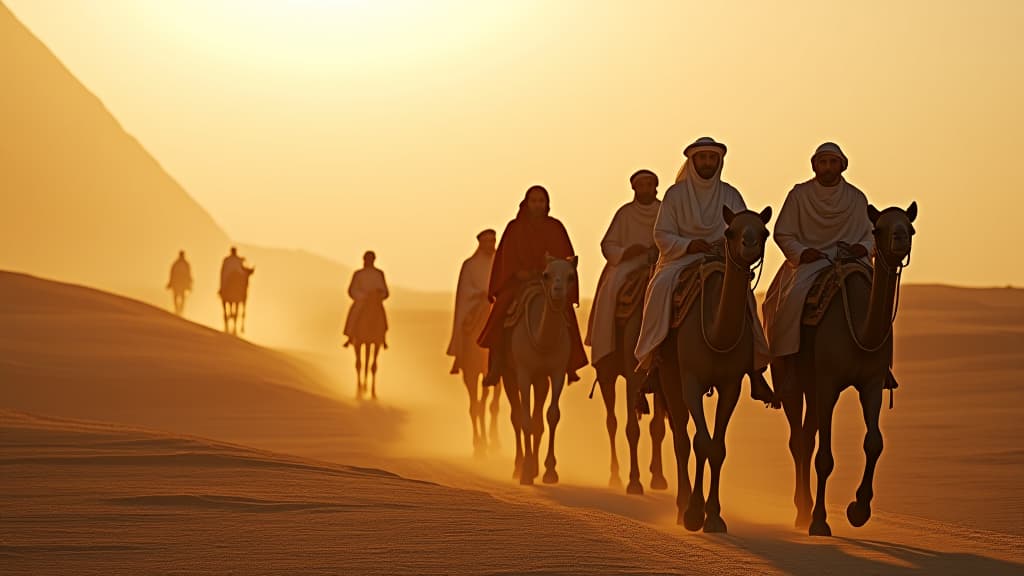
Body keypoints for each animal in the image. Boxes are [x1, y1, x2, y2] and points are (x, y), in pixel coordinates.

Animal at [501, 253, 577, 481]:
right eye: (547, 274)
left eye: (571, 276)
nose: (557, 291)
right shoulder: (524, 373)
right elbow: (524, 419)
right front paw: (526, 471)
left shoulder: (557, 372)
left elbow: (551, 416)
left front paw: (550, 470)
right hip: (508, 375)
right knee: (516, 416)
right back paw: (519, 466)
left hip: (541, 381)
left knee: (537, 419)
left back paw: (534, 466)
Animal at [593, 249, 671, 496]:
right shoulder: (634, 375)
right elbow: (632, 428)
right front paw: (634, 482)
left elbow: (657, 427)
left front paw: (658, 478)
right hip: (606, 374)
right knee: (612, 421)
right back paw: (615, 477)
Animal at [659, 204, 770, 528]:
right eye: (730, 231)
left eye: (764, 231)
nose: (749, 244)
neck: (715, 331)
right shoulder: (691, 380)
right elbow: (701, 442)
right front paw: (695, 513)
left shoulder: (731, 384)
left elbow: (717, 447)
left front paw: (715, 516)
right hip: (669, 374)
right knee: (681, 438)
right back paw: (681, 506)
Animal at [778, 201, 917, 532]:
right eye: (878, 228)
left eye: (909, 225)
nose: (900, 239)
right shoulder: (829, 382)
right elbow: (825, 457)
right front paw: (819, 521)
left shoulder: (871, 382)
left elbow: (874, 442)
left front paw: (858, 510)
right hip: (791, 379)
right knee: (797, 439)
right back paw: (802, 512)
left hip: (813, 385)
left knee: (806, 436)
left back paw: (804, 509)